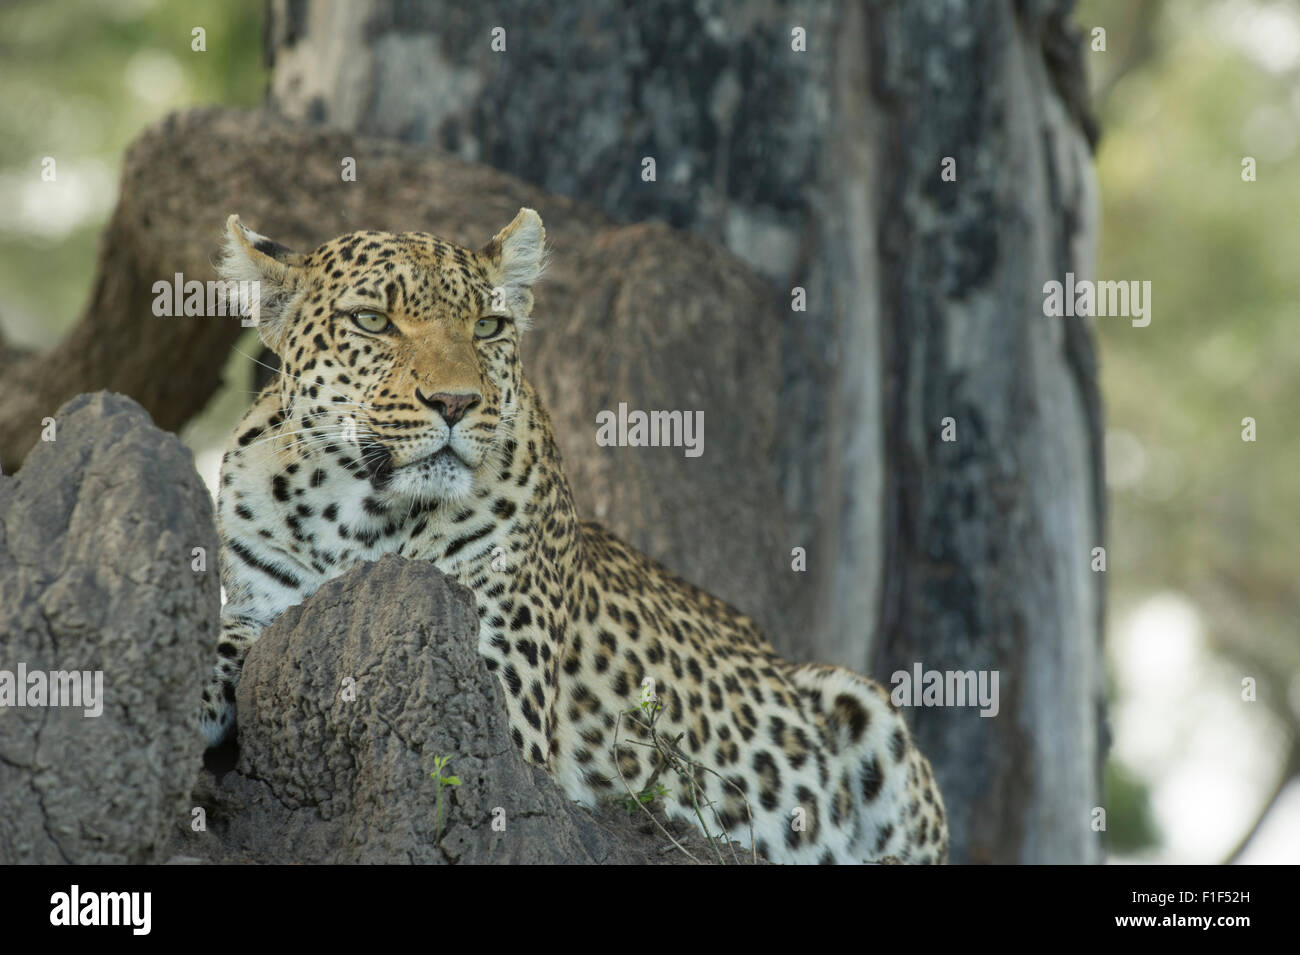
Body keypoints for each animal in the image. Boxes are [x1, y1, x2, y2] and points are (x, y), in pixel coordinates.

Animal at [202, 208, 948, 864]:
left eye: (489, 326)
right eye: (372, 321)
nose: (456, 402)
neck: (360, 515)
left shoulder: (495, 691)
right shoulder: (265, 605)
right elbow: (229, 640)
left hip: (863, 705)